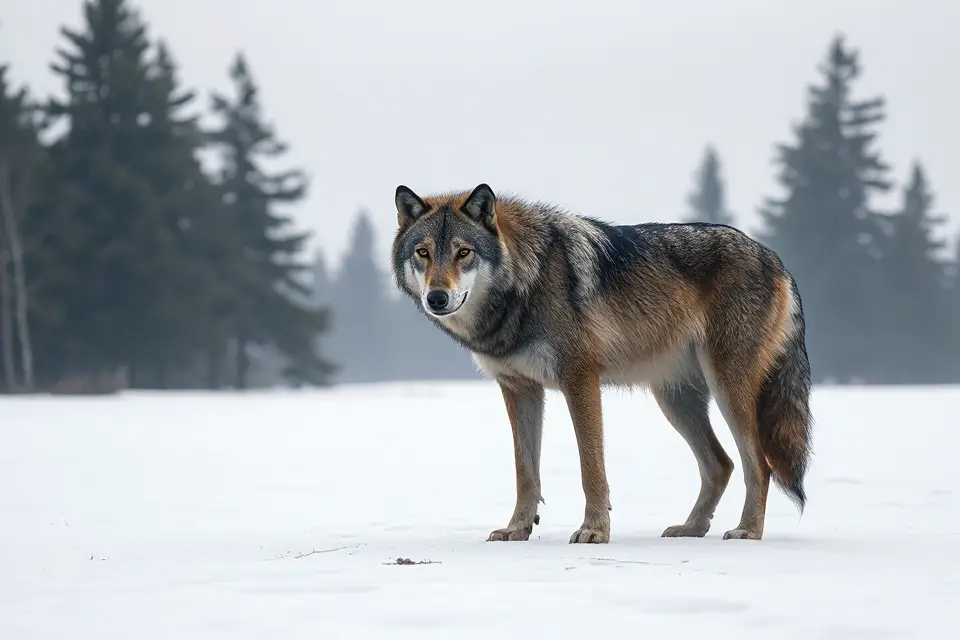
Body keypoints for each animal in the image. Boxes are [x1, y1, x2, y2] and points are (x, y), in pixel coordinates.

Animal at [391, 183, 813, 544]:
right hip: (675, 399)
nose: (437, 298)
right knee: (720, 464)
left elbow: (590, 467)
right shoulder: (519, 389)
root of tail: (776, 260)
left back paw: (747, 531)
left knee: (759, 465)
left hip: (726, 389)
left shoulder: (579, 379)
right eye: (423, 253)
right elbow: (525, 472)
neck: (525, 285)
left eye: (464, 252)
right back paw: (691, 528)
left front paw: (594, 530)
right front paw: (516, 530)